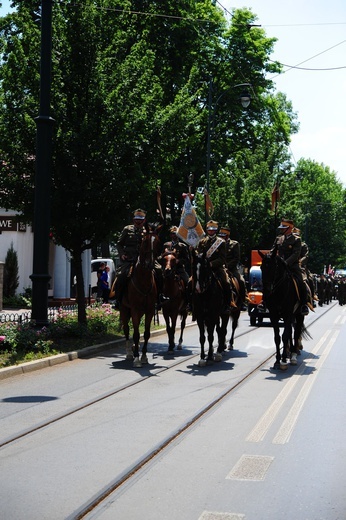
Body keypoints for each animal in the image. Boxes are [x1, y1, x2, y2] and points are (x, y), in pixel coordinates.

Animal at [119, 225, 160, 368]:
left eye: (157, 242)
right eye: (145, 241)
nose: (150, 264)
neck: (143, 278)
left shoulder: (149, 310)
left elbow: (146, 333)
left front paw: (143, 356)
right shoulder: (135, 309)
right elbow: (136, 334)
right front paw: (136, 358)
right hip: (125, 309)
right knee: (126, 330)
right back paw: (129, 352)